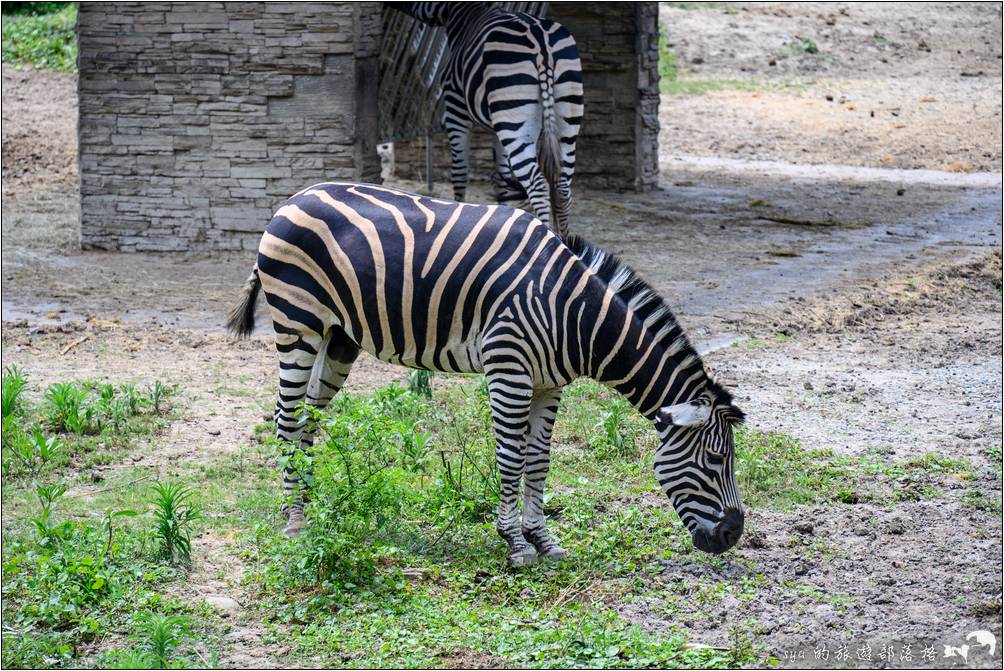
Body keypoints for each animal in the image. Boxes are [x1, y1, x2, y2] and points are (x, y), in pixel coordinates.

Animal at [229, 180, 746, 562]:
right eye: (716, 459)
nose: (734, 536)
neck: (575, 314)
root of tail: (293, 198)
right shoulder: (508, 370)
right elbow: (511, 458)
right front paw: (514, 543)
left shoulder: (549, 384)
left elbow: (539, 460)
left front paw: (543, 539)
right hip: (298, 321)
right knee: (286, 418)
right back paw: (295, 522)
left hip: (339, 336)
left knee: (308, 421)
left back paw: (308, 506)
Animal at [389, 1, 586, 238]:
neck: (463, 16)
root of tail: (542, 45)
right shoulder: (497, 127)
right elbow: (501, 177)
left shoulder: (455, 108)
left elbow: (459, 171)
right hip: (565, 115)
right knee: (563, 187)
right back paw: (565, 241)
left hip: (515, 123)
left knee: (538, 185)